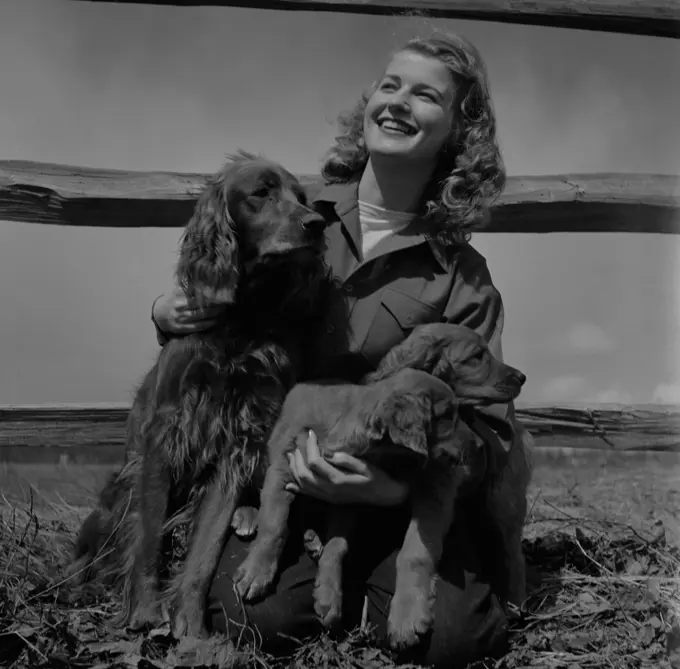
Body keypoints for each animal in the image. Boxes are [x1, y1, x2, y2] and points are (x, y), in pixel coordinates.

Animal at [70, 150, 330, 636]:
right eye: (262, 192)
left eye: (302, 198)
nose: (317, 223)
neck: (242, 319)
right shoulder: (166, 434)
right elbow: (149, 537)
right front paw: (145, 609)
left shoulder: (236, 444)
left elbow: (206, 552)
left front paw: (189, 623)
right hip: (118, 490)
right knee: (97, 543)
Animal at [231, 320, 528, 648]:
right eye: (477, 356)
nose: (479, 446)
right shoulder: (285, 469)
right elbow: (275, 525)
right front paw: (257, 571)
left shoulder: (425, 491)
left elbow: (407, 550)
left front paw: (404, 615)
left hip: (503, 502)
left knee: (512, 553)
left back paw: (516, 605)